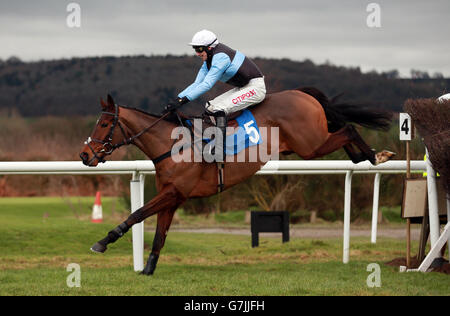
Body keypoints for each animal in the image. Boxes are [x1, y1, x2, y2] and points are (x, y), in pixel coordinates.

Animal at [80, 87, 394, 276]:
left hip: (311, 145)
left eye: (105, 124)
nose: (85, 155)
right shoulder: (173, 197)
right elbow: (159, 234)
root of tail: (302, 93)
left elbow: (136, 214)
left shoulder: (174, 192)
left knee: (349, 128)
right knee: (344, 129)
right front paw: (147, 269)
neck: (171, 145)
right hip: (312, 142)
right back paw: (368, 156)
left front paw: (102, 242)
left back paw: (376, 155)